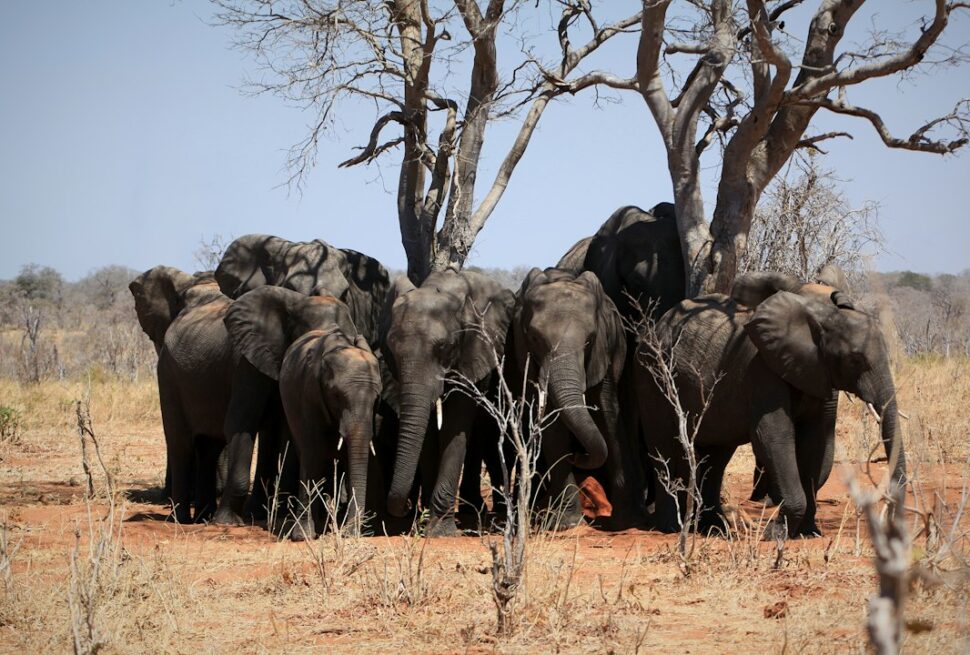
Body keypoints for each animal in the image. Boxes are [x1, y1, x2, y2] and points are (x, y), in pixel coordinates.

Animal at [223, 286, 382, 538]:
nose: (351, 533)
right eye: (335, 395)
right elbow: (313, 448)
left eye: (377, 399)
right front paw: (304, 536)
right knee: (309, 451)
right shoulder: (308, 391)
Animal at [381, 269, 515, 536]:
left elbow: (455, 424)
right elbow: (428, 430)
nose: (405, 506)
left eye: (443, 346)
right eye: (391, 347)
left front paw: (439, 530)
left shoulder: (473, 350)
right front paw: (427, 524)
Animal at [506, 268, 628, 529]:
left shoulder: (604, 351)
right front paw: (568, 523)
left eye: (590, 339)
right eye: (534, 337)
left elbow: (608, 413)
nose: (577, 455)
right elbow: (554, 426)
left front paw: (624, 520)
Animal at [633, 271, 907, 538]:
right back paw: (671, 528)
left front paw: (808, 533)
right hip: (652, 374)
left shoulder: (814, 370)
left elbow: (815, 440)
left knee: (717, 456)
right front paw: (775, 534)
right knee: (664, 446)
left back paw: (714, 529)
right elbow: (773, 435)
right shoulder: (761, 368)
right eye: (855, 360)